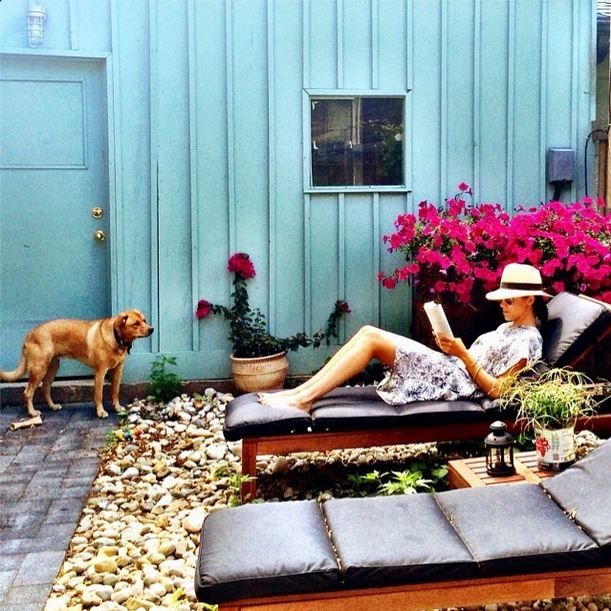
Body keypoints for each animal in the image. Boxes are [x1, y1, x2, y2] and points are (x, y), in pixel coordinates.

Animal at [0, 310, 153, 420]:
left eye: (144, 320)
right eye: (136, 323)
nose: (151, 329)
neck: (116, 337)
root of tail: (29, 334)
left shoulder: (118, 370)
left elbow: (115, 391)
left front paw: (117, 408)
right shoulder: (100, 372)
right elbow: (99, 395)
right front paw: (100, 412)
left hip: (52, 368)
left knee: (45, 389)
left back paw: (53, 406)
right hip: (39, 369)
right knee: (27, 392)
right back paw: (32, 413)